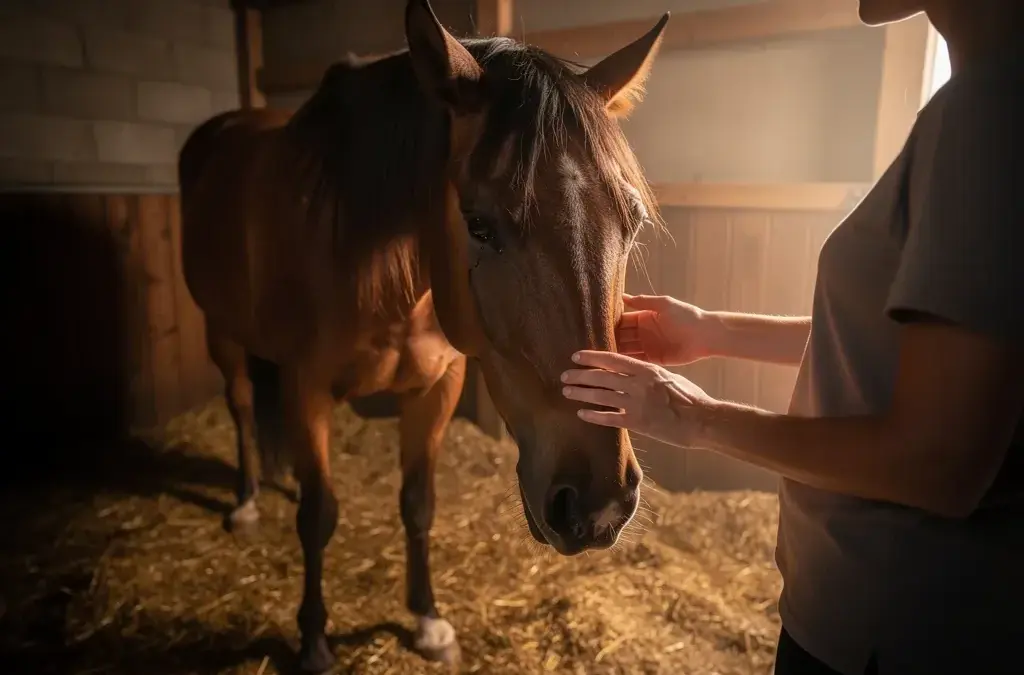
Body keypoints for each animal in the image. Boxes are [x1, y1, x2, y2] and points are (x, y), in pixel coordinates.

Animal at [178, 1, 669, 671]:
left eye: (633, 222)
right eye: (479, 224)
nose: (598, 506)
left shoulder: (436, 387)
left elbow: (417, 504)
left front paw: (428, 620)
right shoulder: (306, 388)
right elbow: (318, 516)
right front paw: (313, 639)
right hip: (220, 331)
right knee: (243, 405)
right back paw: (248, 500)